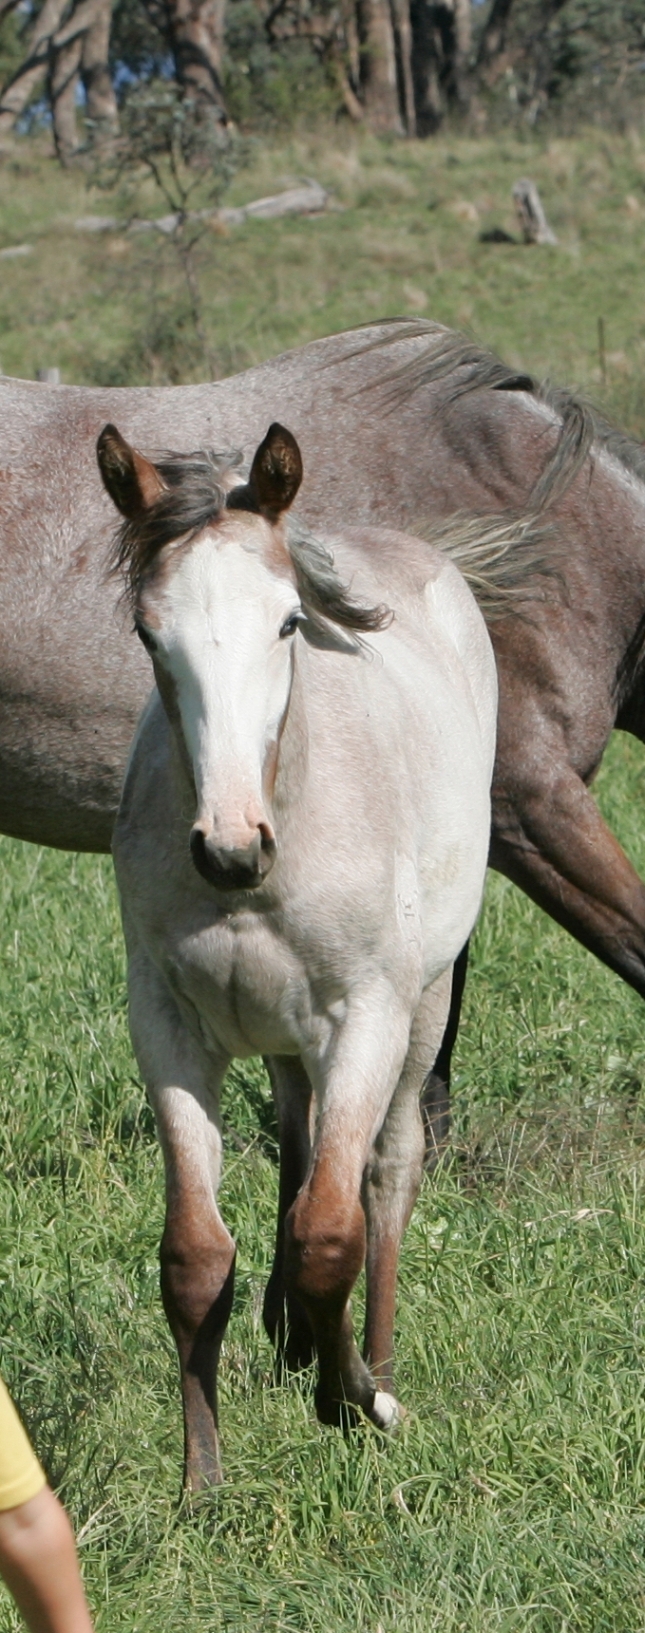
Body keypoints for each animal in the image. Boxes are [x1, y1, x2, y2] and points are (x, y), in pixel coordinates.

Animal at [97, 419, 497, 1488]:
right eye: (149, 634)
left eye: (286, 623)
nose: (230, 848)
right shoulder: (169, 1028)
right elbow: (194, 1255)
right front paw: (202, 1482)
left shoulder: (366, 1015)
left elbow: (330, 1232)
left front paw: (355, 1398)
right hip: (279, 1031)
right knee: (297, 1134)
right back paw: (289, 1339)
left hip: (422, 1007)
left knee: (385, 1172)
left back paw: (374, 1362)